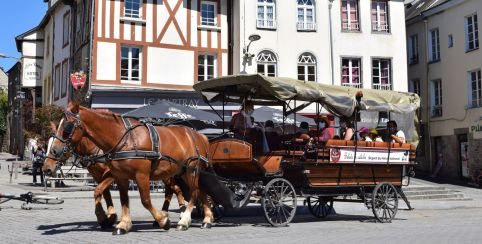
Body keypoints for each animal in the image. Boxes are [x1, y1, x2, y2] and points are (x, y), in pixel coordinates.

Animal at [43, 101, 213, 234]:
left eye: (66, 128)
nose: (46, 168)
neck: (123, 139)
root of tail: (199, 135)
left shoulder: (140, 175)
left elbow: (144, 200)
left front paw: (163, 221)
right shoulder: (119, 176)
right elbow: (118, 198)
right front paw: (121, 223)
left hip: (191, 170)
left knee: (193, 192)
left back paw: (184, 220)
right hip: (180, 172)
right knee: (195, 190)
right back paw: (207, 219)